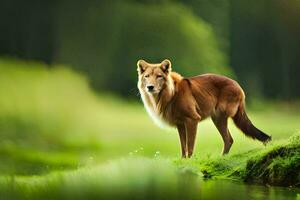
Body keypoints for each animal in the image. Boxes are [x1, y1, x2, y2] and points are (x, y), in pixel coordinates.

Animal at [137, 58, 272, 157]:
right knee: (229, 140)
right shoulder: (180, 124)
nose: (150, 87)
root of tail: (238, 85)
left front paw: (190, 162)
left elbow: (190, 146)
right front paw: (183, 161)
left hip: (219, 117)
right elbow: (183, 147)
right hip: (217, 119)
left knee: (228, 139)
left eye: (159, 76)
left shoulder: (192, 120)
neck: (171, 94)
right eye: (147, 76)